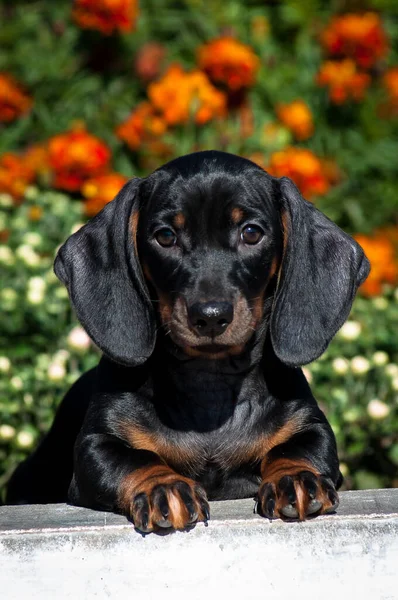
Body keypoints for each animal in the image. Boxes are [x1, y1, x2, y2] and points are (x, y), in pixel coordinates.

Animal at [6, 151, 368, 536]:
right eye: (165, 236)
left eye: (251, 232)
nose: (210, 316)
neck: (210, 385)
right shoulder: (96, 446)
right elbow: (133, 457)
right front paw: (162, 487)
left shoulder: (312, 428)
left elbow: (297, 449)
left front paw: (296, 478)